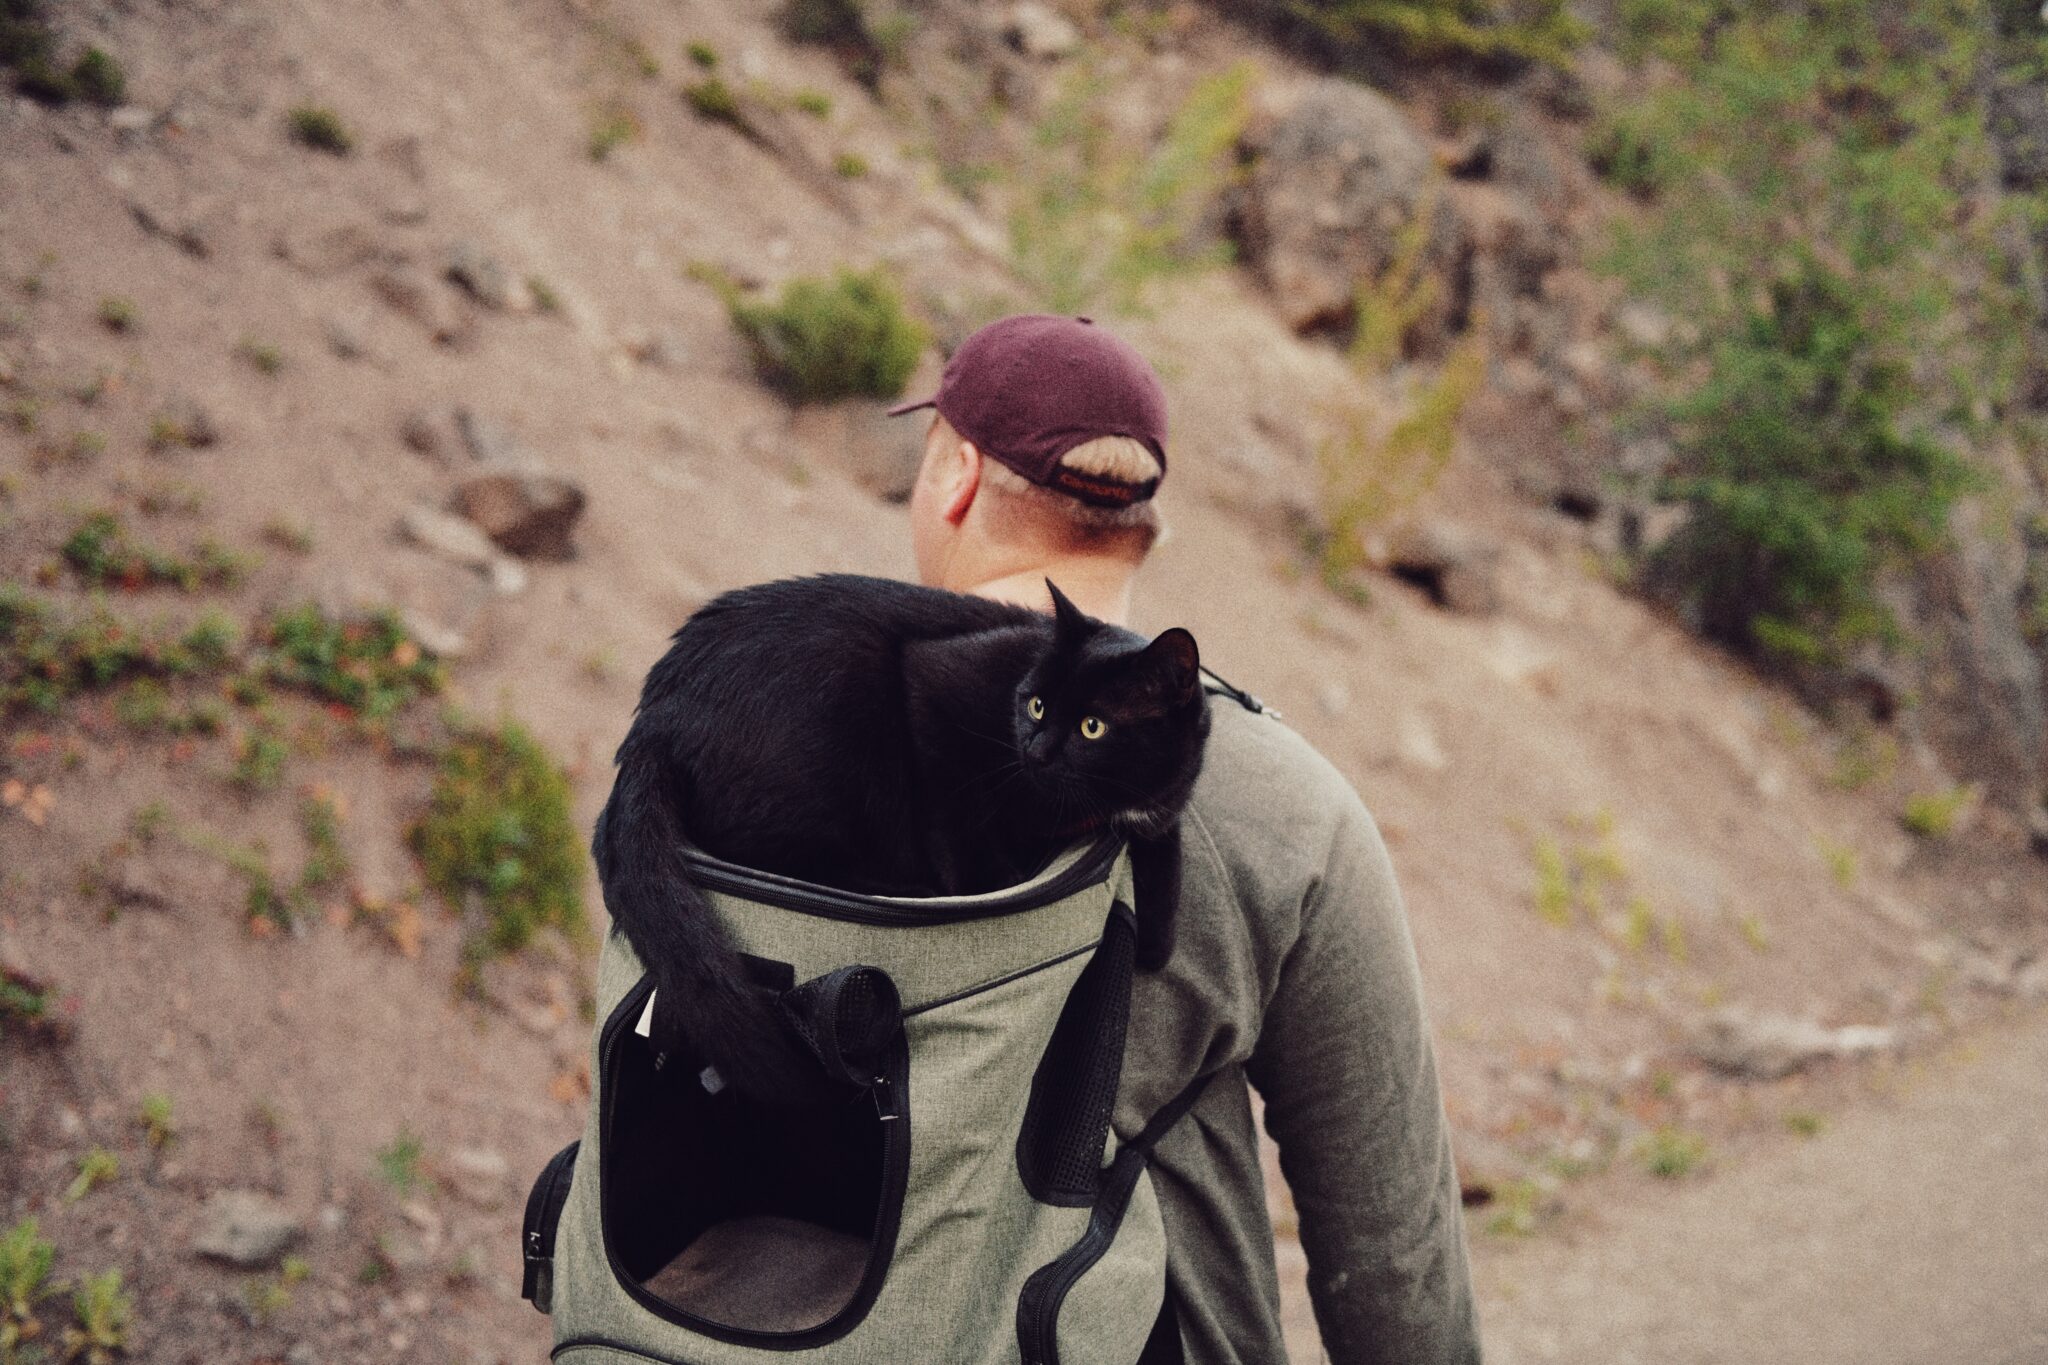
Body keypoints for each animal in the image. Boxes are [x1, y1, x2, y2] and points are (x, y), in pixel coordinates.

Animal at [585, 573, 1204, 1105]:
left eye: (1092, 727)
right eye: (1036, 705)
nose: (1035, 748)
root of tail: (653, 721)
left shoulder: (1160, 805)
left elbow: (1166, 871)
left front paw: (1155, 937)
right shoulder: (935, 682)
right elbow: (956, 820)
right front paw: (984, 885)